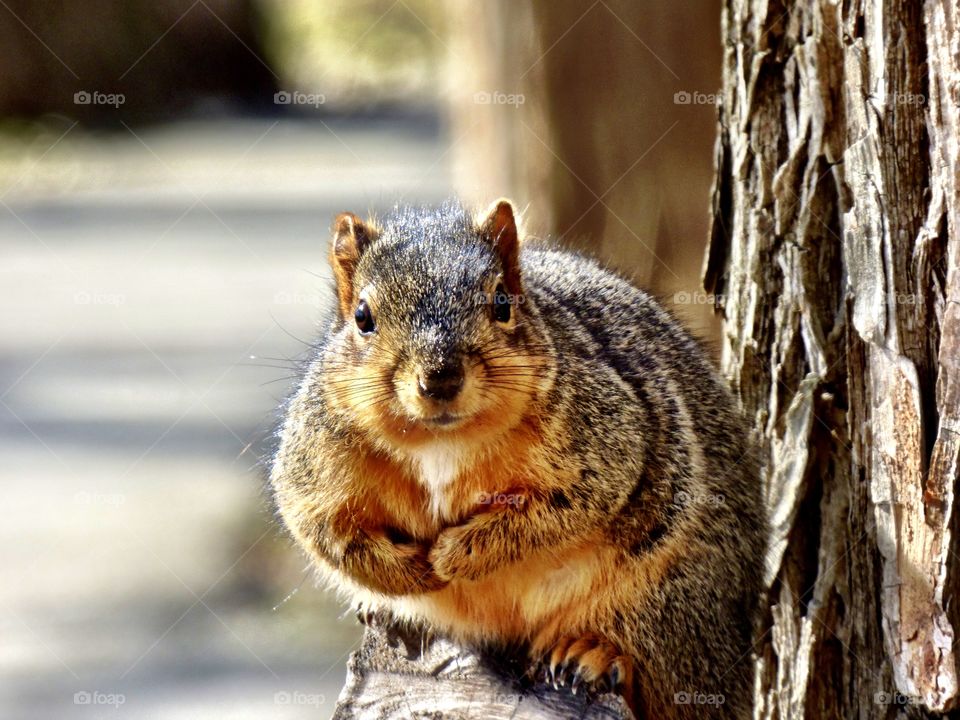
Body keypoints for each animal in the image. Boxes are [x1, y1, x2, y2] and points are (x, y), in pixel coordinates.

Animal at [270, 199, 767, 719]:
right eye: (363, 317)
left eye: (502, 303)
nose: (440, 378)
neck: (440, 442)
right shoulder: (314, 467)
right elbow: (326, 533)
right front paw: (410, 573)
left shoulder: (611, 441)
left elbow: (557, 513)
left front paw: (454, 556)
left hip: (669, 600)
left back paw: (591, 653)